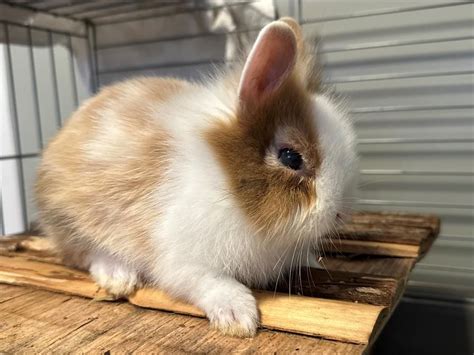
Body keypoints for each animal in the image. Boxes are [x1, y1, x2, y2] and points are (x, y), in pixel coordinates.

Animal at [36, 17, 356, 340]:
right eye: (291, 157)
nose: (340, 214)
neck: (226, 183)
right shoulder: (183, 261)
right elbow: (210, 283)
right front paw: (239, 318)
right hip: (72, 220)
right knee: (85, 252)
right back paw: (119, 277)